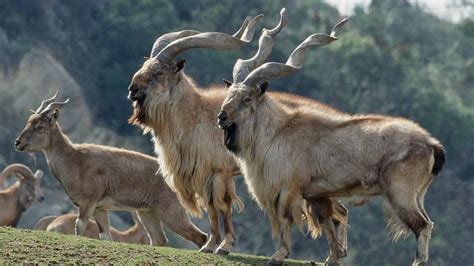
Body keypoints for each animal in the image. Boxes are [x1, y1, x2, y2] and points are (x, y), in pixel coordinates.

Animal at [14, 94, 206, 248]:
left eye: (40, 127)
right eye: (28, 121)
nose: (18, 142)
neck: (75, 161)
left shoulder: (88, 202)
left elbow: (79, 227)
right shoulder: (100, 208)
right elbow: (106, 236)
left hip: (172, 213)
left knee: (200, 237)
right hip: (147, 213)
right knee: (159, 240)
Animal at [218, 18, 444, 266]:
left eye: (247, 98)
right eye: (229, 93)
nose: (222, 117)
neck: (277, 132)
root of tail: (433, 145)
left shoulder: (288, 189)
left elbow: (287, 219)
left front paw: (278, 255)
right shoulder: (317, 195)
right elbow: (327, 224)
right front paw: (333, 258)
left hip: (401, 193)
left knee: (422, 225)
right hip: (418, 195)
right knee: (427, 222)